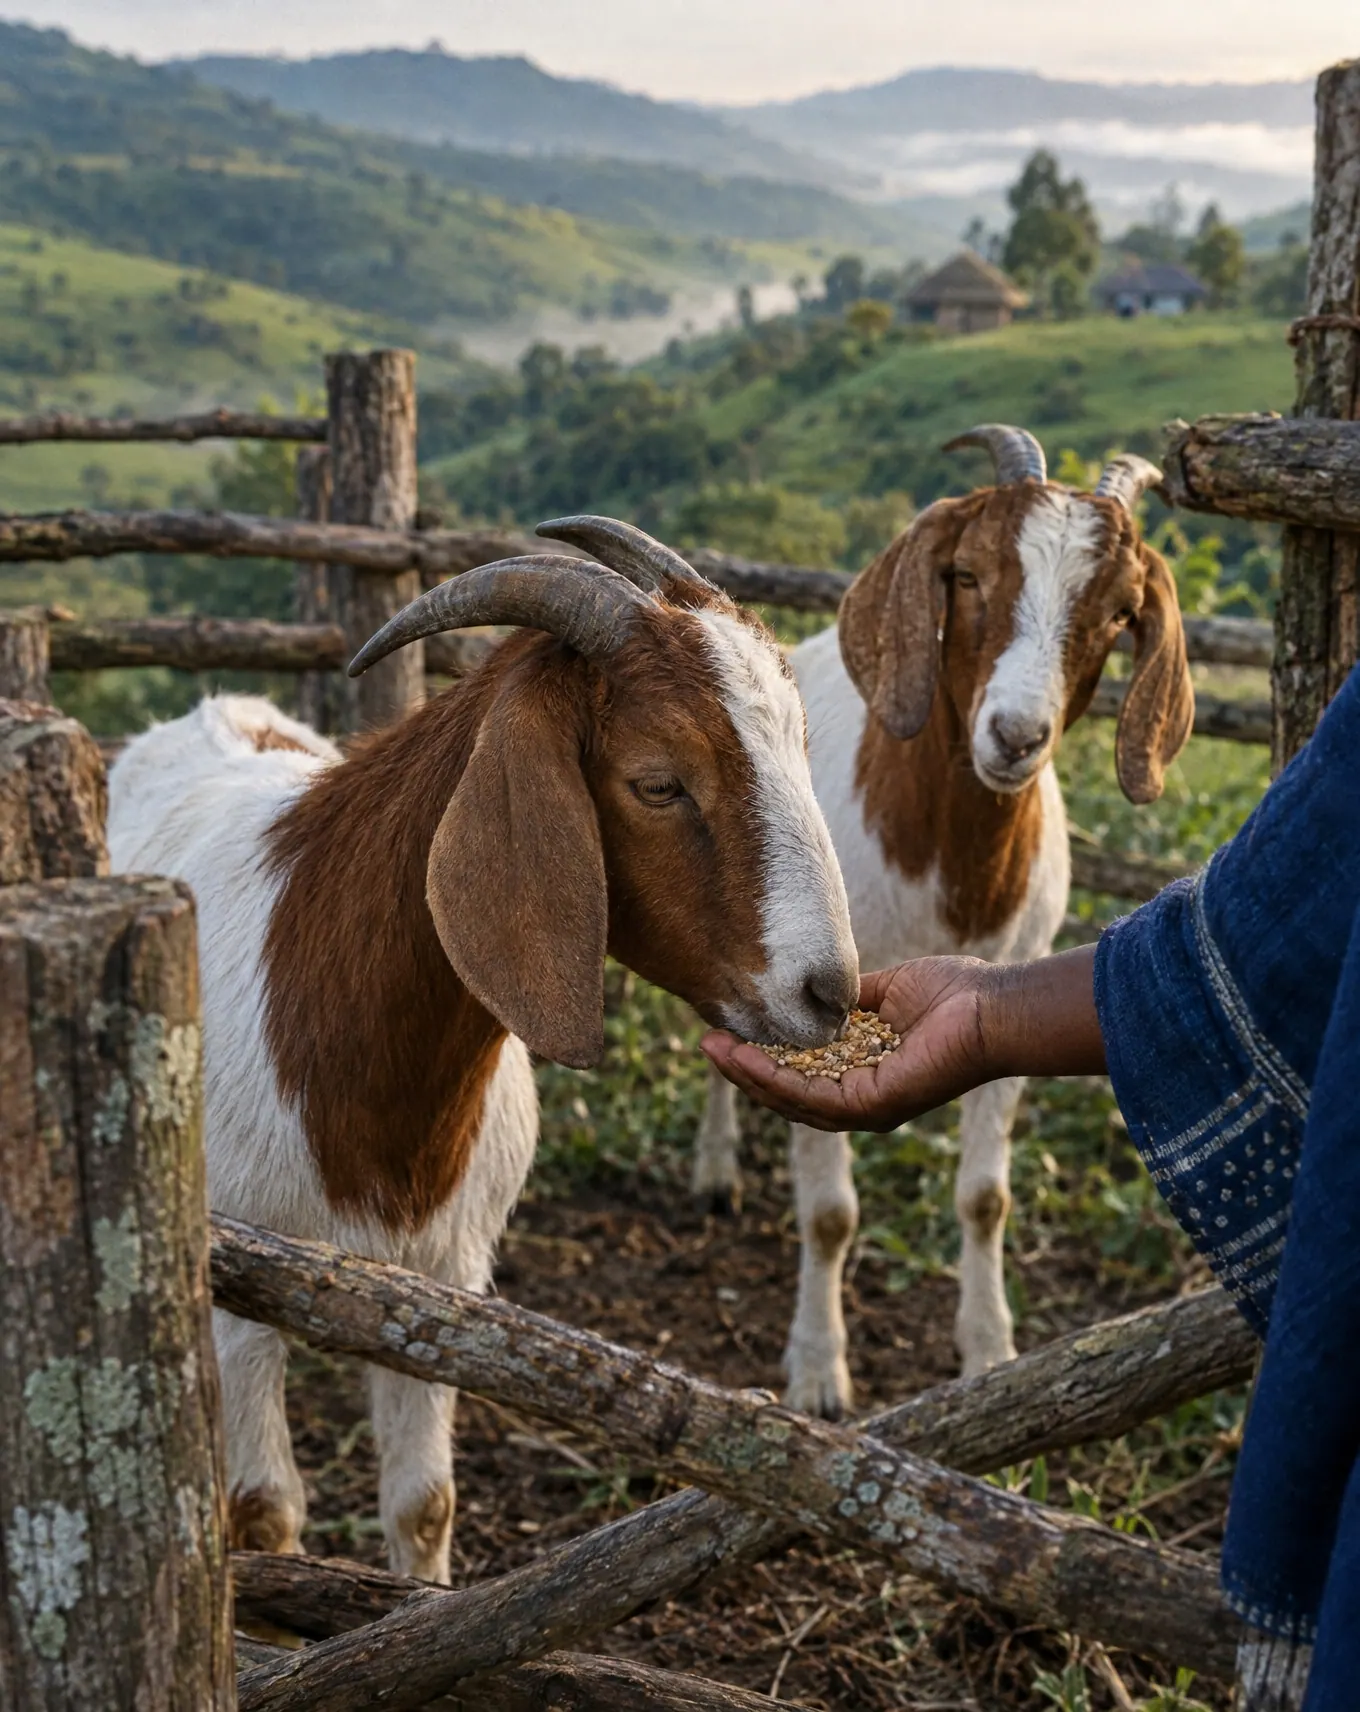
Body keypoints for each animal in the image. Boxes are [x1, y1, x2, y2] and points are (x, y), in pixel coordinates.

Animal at [107, 522, 858, 1582]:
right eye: (659, 782)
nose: (830, 994)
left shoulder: (443, 1283)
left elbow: (424, 1505)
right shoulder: (241, 1281)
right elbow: (262, 1510)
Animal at [694, 428, 1194, 1415]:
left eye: (1120, 612)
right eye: (965, 574)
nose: (1015, 736)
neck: (947, 872)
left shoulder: (1013, 971)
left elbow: (985, 1199)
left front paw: (990, 1350)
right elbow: (830, 1214)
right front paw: (818, 1371)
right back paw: (716, 1169)